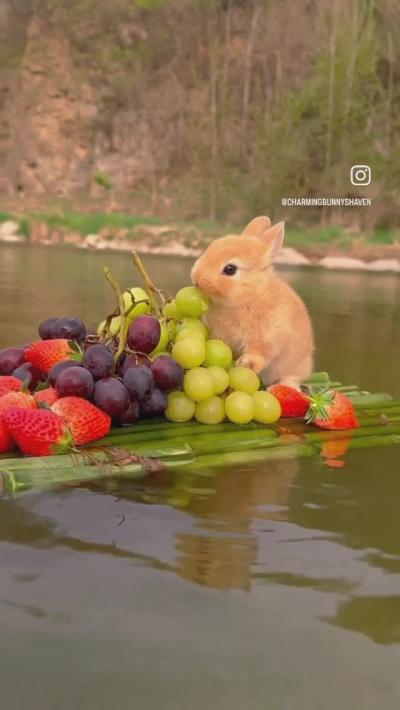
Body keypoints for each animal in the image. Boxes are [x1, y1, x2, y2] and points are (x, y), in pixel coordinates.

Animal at [192, 217, 314, 390]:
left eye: (230, 269)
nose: (196, 279)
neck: (251, 295)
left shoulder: (266, 337)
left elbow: (259, 353)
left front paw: (246, 363)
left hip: (295, 365)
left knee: (292, 378)